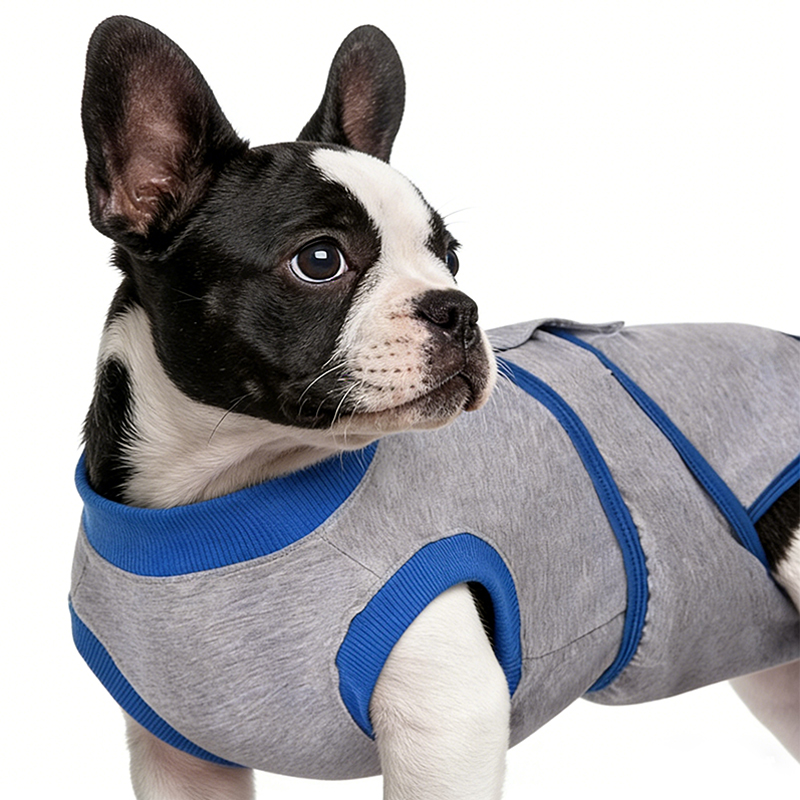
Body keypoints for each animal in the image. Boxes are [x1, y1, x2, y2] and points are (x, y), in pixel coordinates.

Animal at [70, 16, 800, 799]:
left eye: (450, 257)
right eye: (320, 260)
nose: (458, 307)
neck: (221, 495)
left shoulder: (445, 726)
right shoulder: (178, 760)